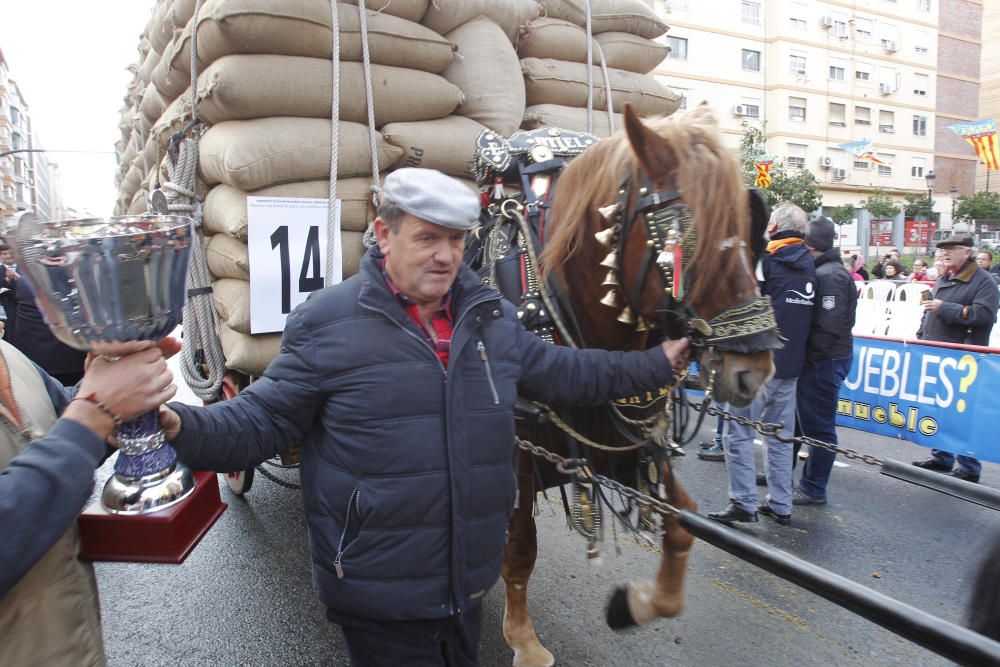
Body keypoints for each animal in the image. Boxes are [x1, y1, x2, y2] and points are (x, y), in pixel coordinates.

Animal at [500, 105, 780, 667]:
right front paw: (522, 637)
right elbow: (519, 544)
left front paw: (638, 603)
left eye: (751, 230)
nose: (755, 370)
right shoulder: (517, 449)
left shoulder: (636, 441)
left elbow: (681, 521)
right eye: (691, 242)